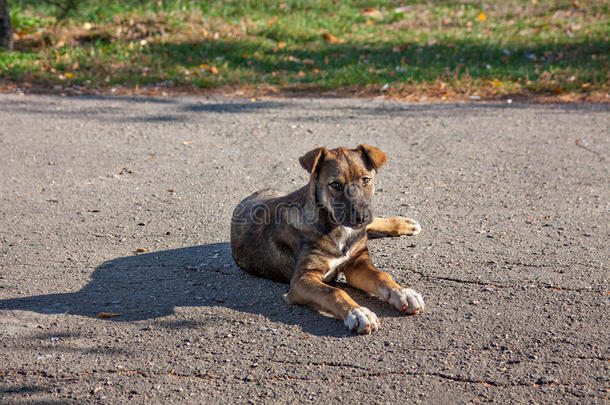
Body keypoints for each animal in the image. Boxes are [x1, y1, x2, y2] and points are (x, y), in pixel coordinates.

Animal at [229, 144, 422, 332]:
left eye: (365, 180)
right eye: (335, 184)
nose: (361, 217)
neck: (337, 228)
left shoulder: (357, 261)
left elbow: (382, 275)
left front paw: (403, 293)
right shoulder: (301, 279)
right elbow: (334, 292)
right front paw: (358, 312)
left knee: (373, 224)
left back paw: (404, 224)